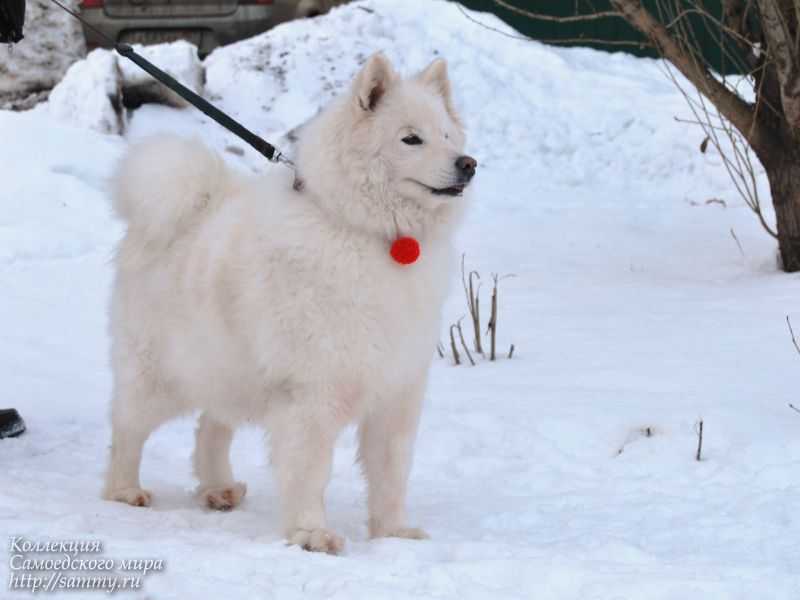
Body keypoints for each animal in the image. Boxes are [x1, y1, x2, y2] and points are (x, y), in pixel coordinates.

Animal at [100, 54, 476, 556]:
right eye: (411, 138)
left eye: (450, 137)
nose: (468, 164)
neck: (372, 235)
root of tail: (187, 204)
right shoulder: (312, 394)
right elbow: (311, 471)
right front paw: (310, 533)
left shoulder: (396, 391)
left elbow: (391, 473)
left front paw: (394, 533)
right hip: (160, 376)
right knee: (128, 430)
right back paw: (124, 491)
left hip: (230, 369)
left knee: (210, 427)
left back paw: (218, 488)